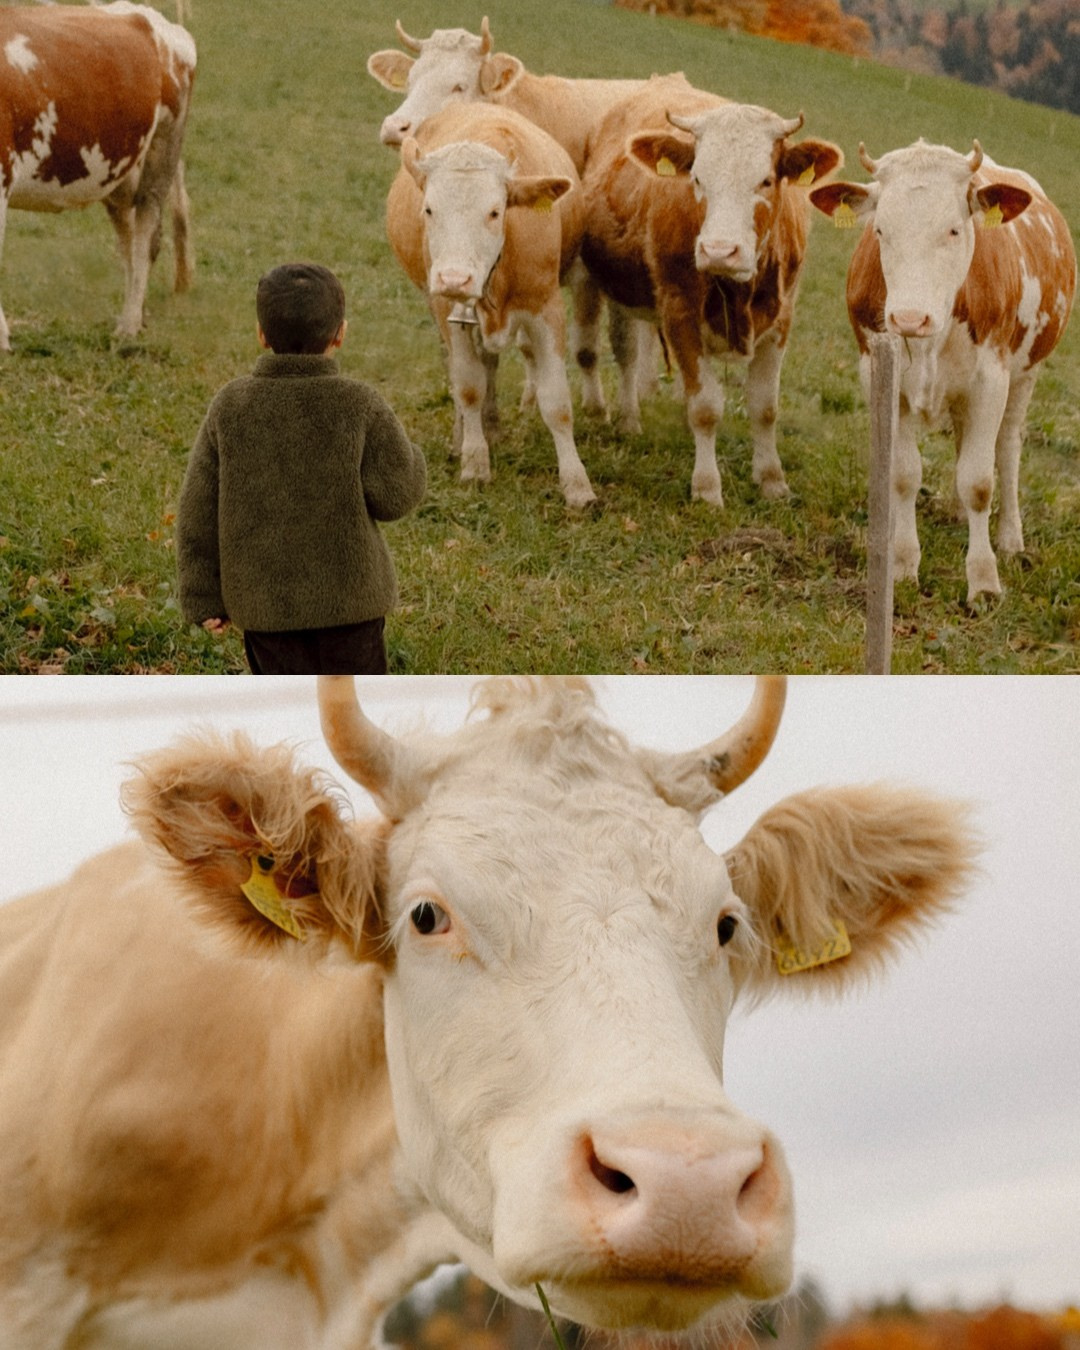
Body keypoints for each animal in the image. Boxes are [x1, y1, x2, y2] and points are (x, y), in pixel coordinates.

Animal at [0, 1, 195, 350]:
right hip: (120, 172)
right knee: (128, 241)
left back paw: (128, 328)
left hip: (163, 151)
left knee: (146, 237)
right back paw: (136, 319)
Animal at [367, 17, 651, 422]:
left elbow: (609, 345)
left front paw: (617, 417)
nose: (396, 128)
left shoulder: (593, 274)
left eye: (459, 85)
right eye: (411, 79)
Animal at [385, 102, 597, 508]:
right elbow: (468, 385)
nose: (455, 279)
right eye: (429, 209)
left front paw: (578, 485)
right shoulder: (447, 311)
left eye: (495, 211)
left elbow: (557, 402)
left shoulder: (547, 310)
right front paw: (474, 462)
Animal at [580, 75, 842, 506]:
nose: (719, 250)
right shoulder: (679, 311)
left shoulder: (782, 318)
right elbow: (704, 407)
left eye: (766, 180)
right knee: (623, 352)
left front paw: (772, 480)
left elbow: (764, 406)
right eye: (697, 178)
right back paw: (628, 417)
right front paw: (706, 487)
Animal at [810, 140, 1076, 601]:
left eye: (953, 230)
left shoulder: (991, 380)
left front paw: (984, 581)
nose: (909, 318)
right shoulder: (879, 375)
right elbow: (903, 475)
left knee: (1007, 448)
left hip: (1025, 375)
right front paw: (902, 564)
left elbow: (979, 481)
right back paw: (955, 513)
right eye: (880, 230)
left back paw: (1010, 538)